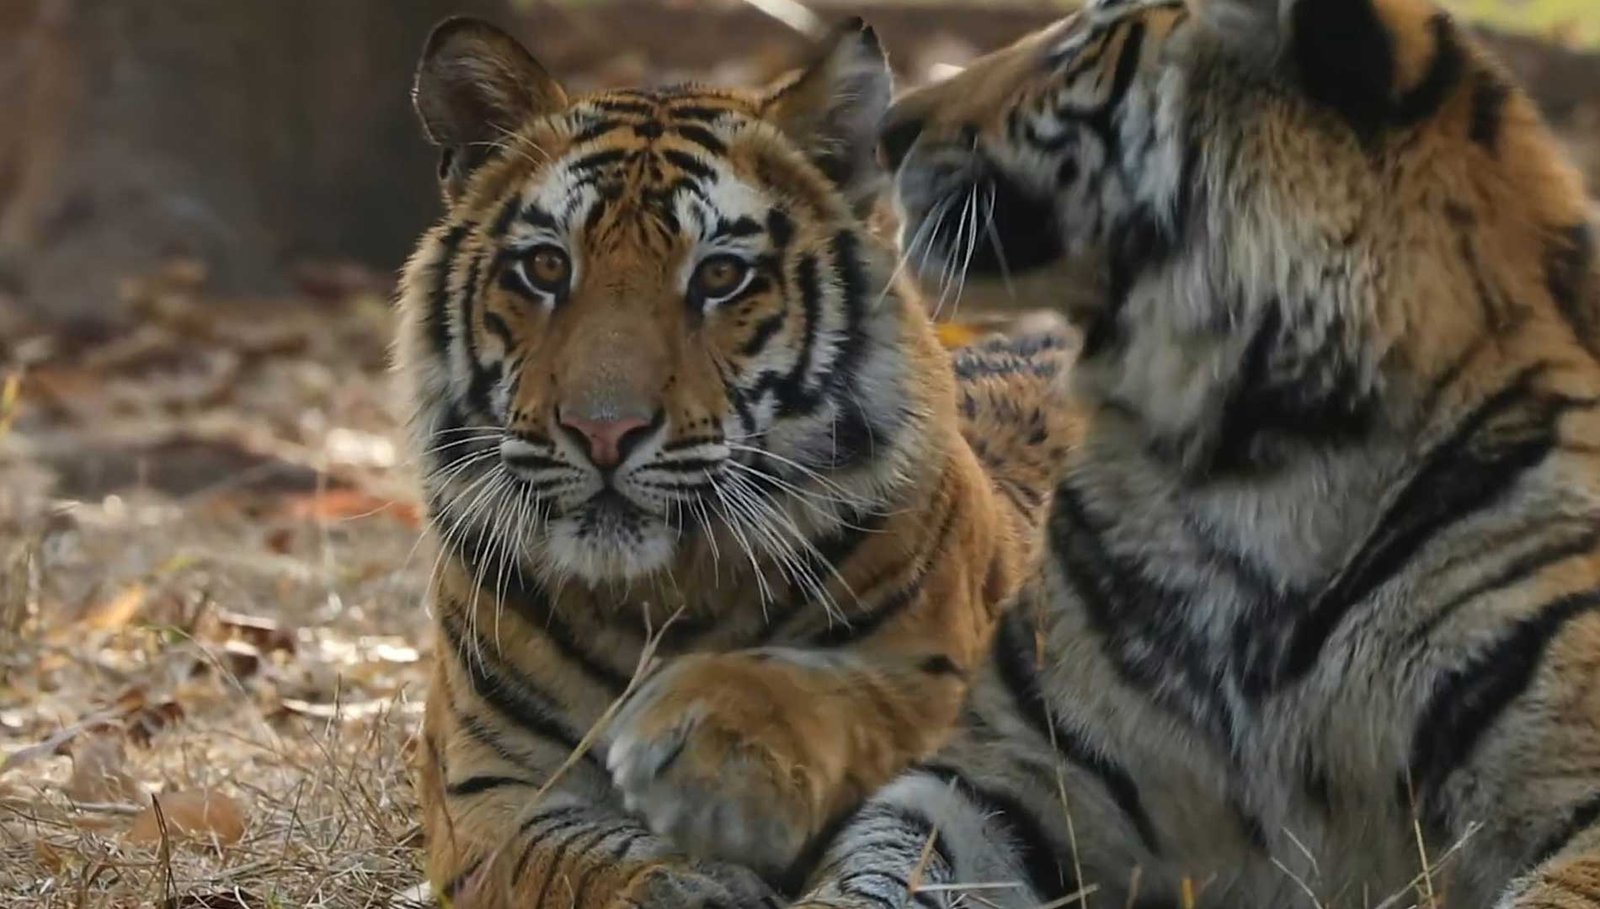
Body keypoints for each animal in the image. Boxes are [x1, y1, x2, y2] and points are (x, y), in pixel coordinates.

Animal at [396, 14, 1075, 909]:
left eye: (721, 275)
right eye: (545, 267)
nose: (603, 431)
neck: (658, 598)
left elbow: (898, 849)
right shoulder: (484, 787)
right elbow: (573, 853)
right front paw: (686, 880)